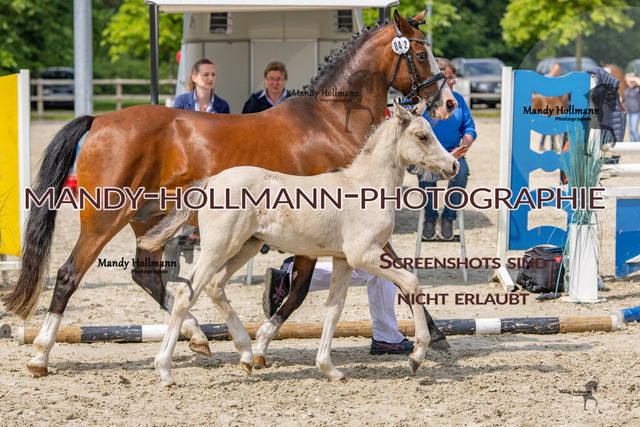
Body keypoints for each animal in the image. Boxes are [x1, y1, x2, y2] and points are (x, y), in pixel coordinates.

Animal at [138, 100, 458, 386]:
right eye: (422, 136)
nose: (453, 165)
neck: (364, 186)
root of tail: (211, 181)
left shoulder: (344, 260)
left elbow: (334, 308)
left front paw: (329, 369)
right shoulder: (364, 255)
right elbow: (411, 283)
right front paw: (417, 355)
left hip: (245, 246)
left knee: (215, 285)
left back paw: (247, 354)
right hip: (219, 247)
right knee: (186, 293)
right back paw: (166, 370)